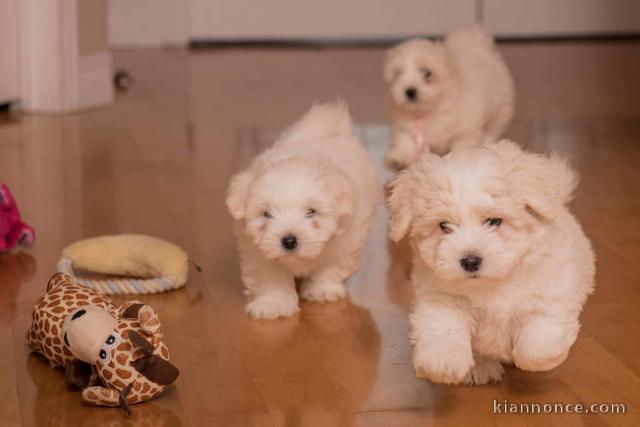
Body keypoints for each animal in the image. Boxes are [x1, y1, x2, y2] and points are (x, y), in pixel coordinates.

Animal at [228, 102, 380, 320]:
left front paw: (322, 291)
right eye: (266, 214)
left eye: (311, 212)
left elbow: (330, 266)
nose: (289, 240)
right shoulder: (257, 252)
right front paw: (273, 304)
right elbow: (270, 277)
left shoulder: (346, 241)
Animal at [384, 25, 516, 171]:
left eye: (427, 73)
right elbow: (404, 139)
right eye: (398, 74)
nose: (409, 91)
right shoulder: (403, 124)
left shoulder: (466, 131)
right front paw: (400, 158)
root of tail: (477, 46)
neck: (428, 112)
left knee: (492, 129)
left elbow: (462, 146)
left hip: (500, 109)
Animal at [388, 142, 596, 386]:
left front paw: (543, 360)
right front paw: (442, 363)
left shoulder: (551, 296)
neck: (491, 282)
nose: (470, 261)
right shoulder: (442, 297)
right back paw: (480, 367)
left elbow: (536, 346)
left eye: (494, 221)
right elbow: (442, 326)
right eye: (444, 226)